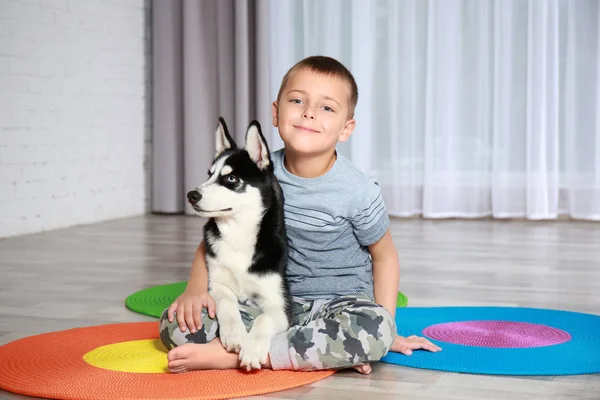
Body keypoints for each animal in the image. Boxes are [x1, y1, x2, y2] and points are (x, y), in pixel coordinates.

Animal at [185, 117, 292, 370]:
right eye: (209, 174)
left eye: (231, 179)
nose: (191, 195)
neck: (238, 234)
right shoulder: (217, 283)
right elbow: (226, 303)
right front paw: (234, 334)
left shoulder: (280, 305)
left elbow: (264, 318)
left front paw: (252, 349)